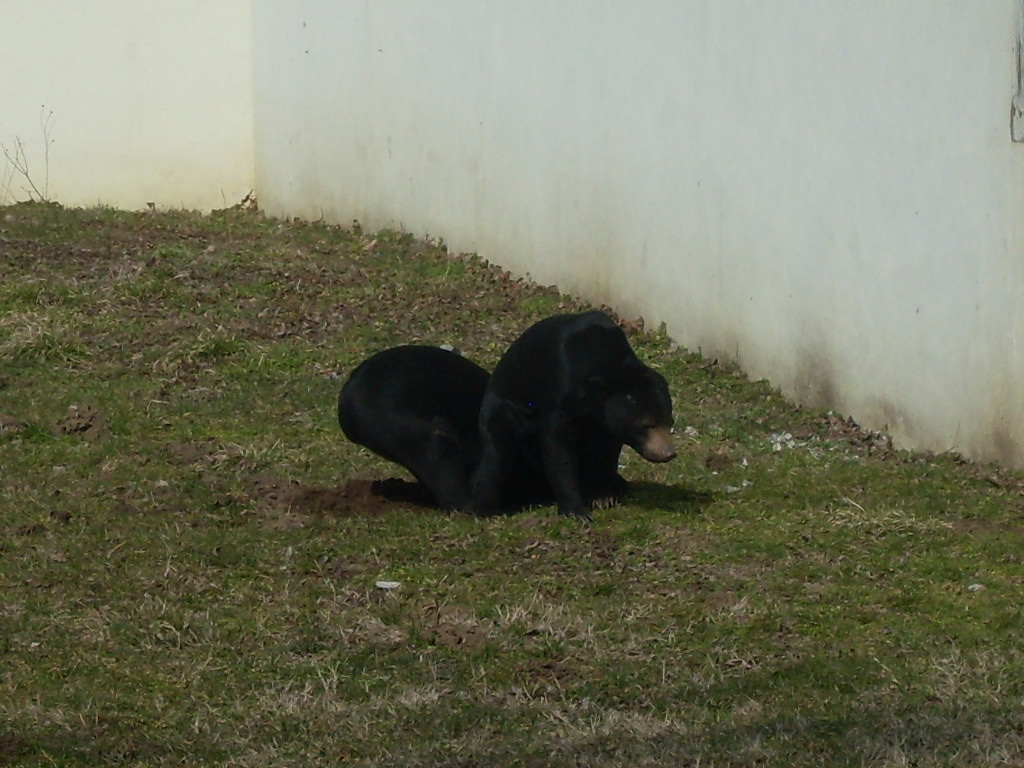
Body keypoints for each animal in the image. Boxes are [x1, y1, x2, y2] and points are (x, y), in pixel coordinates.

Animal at [468, 310, 676, 521]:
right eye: (646, 424)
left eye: (669, 422)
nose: (669, 453)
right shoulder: (559, 392)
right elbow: (558, 447)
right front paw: (576, 511)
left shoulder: (605, 421)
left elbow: (605, 450)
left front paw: (603, 496)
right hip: (503, 413)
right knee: (498, 455)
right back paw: (487, 509)